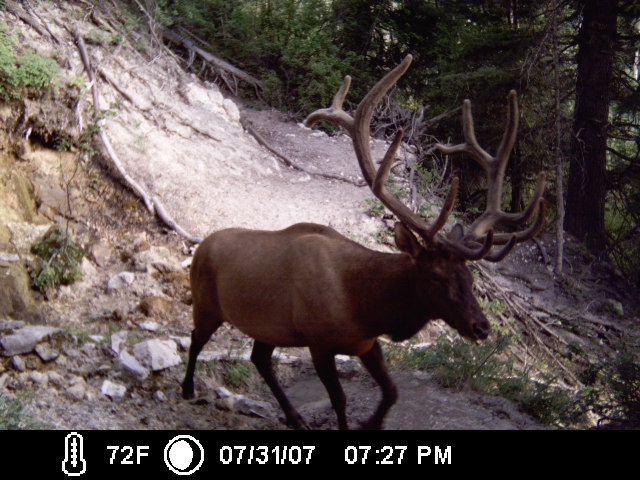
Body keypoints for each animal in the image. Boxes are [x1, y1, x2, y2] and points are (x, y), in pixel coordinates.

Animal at [181, 54, 544, 430]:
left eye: (471, 278)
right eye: (436, 275)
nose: (481, 327)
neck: (364, 306)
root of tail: (201, 245)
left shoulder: (367, 344)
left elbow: (391, 392)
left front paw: (371, 423)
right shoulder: (319, 342)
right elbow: (339, 400)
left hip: (267, 327)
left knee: (259, 359)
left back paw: (295, 417)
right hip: (207, 304)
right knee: (195, 340)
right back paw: (188, 388)